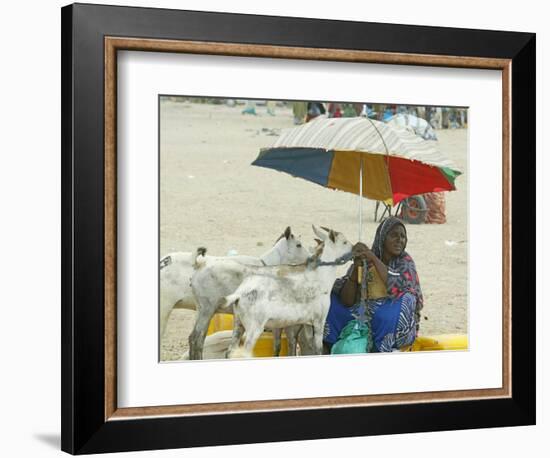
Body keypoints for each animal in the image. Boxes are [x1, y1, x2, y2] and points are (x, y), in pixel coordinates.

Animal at [189, 227, 310, 360]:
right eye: (298, 245)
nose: (311, 258)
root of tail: (199, 266)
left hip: (201, 310)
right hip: (207, 311)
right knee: (197, 339)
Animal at [224, 225, 354, 358]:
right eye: (344, 242)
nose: (354, 249)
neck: (320, 276)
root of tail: (240, 293)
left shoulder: (307, 324)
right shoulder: (319, 321)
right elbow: (318, 349)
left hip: (238, 324)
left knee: (230, 351)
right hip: (254, 329)